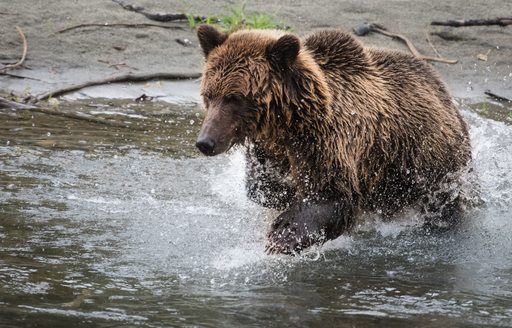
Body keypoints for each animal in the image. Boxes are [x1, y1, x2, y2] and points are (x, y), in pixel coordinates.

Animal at [194, 25, 470, 255]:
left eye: (234, 97)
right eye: (209, 94)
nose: (205, 142)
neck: (288, 121)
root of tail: (444, 92)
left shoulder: (329, 139)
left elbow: (331, 195)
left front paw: (282, 235)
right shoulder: (271, 147)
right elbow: (262, 187)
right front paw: (284, 196)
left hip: (430, 161)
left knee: (443, 202)